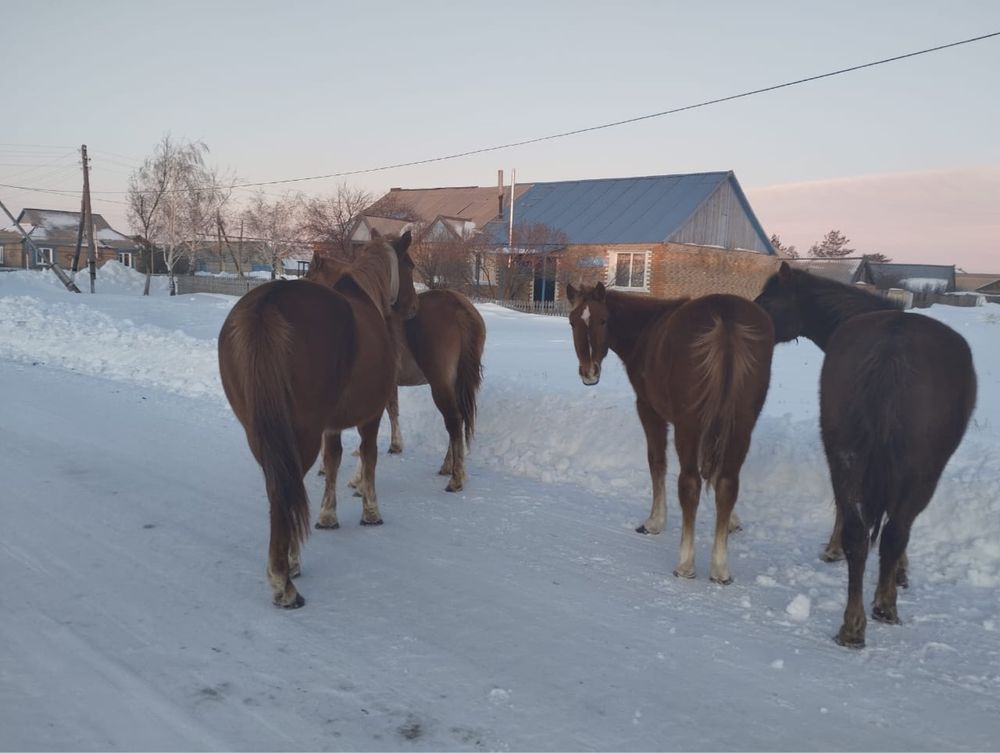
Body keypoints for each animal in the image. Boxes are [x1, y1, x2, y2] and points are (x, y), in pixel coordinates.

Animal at [219, 229, 418, 604]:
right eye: (411, 264)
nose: (413, 306)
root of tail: (268, 305)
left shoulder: (331, 424)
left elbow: (334, 461)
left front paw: (328, 514)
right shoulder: (369, 415)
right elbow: (367, 457)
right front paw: (370, 511)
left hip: (260, 432)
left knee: (277, 489)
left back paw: (283, 566)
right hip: (302, 433)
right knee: (287, 491)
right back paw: (285, 576)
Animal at [564, 282, 772, 580]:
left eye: (603, 320)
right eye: (572, 322)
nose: (589, 372)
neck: (646, 330)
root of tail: (726, 318)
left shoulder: (649, 410)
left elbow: (657, 462)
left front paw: (655, 521)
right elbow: (715, 473)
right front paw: (732, 521)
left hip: (689, 426)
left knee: (690, 484)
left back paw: (685, 563)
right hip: (741, 426)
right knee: (728, 484)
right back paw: (720, 567)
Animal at [756, 262, 976, 648]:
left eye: (769, 300)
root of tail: (892, 352)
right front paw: (898, 573)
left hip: (844, 454)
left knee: (859, 534)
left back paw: (852, 625)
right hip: (921, 473)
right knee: (893, 532)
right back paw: (883, 605)